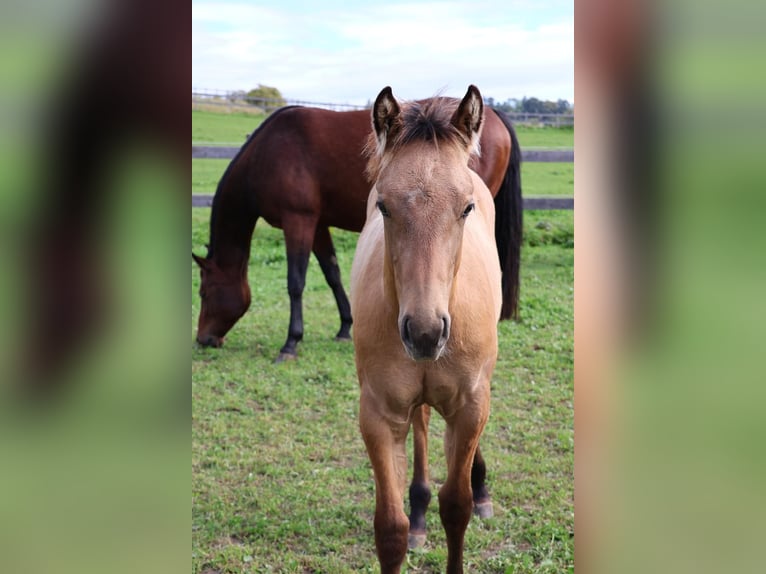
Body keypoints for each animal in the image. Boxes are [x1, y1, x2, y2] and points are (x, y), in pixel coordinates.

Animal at [192, 97, 521, 362]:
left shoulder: (298, 221)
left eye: (204, 292)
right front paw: (344, 327)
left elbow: (295, 282)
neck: (268, 151)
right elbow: (332, 274)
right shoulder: (318, 225)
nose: (204, 339)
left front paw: (291, 343)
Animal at [350, 85, 502, 574]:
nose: (424, 332)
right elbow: (389, 528)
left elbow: (457, 505)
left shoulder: (471, 405)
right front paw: (409, 521)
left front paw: (473, 493)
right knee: (420, 421)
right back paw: (418, 510)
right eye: (383, 206)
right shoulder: (378, 415)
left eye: (466, 207)